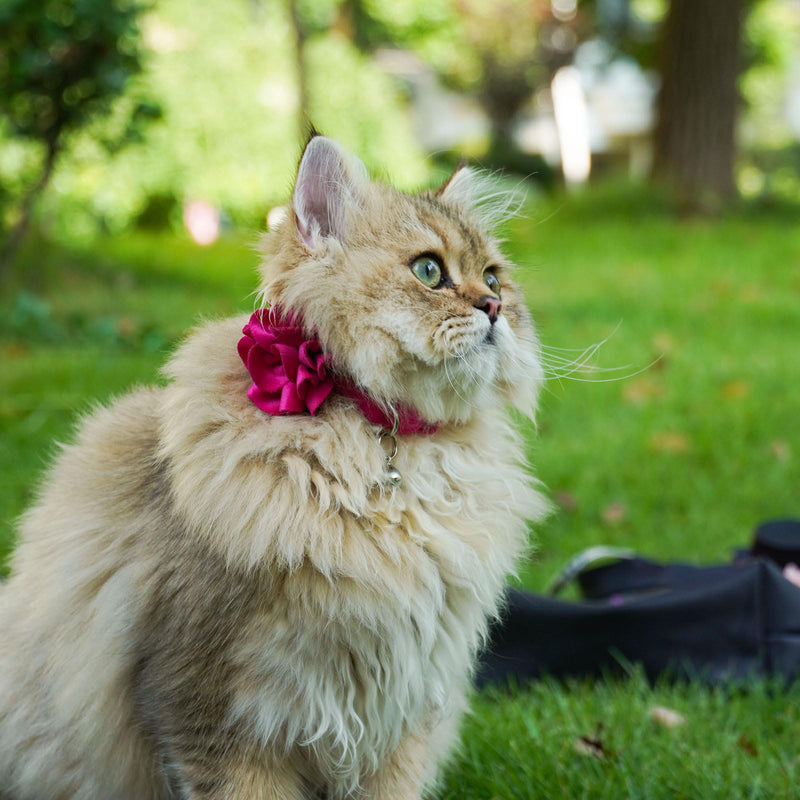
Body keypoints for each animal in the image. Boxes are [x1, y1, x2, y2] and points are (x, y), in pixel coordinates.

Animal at [0, 138, 552, 800]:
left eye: (493, 277)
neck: (385, 454)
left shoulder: (402, 715)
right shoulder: (215, 710)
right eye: (428, 271)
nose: (493, 306)